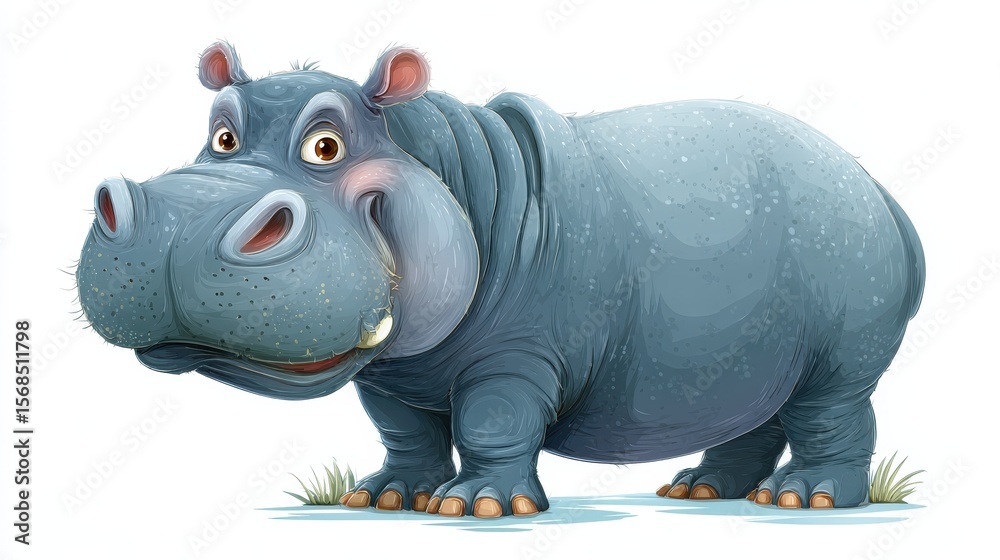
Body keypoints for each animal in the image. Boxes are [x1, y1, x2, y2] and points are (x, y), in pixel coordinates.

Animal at [76, 41, 925, 518]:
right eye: (220, 135)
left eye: (326, 144)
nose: (175, 225)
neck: (441, 162)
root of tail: (878, 188)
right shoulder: (394, 375)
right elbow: (404, 431)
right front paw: (384, 500)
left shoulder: (516, 358)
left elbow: (493, 422)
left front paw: (481, 510)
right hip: (751, 350)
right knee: (753, 416)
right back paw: (701, 492)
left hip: (840, 353)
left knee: (832, 417)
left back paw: (805, 500)